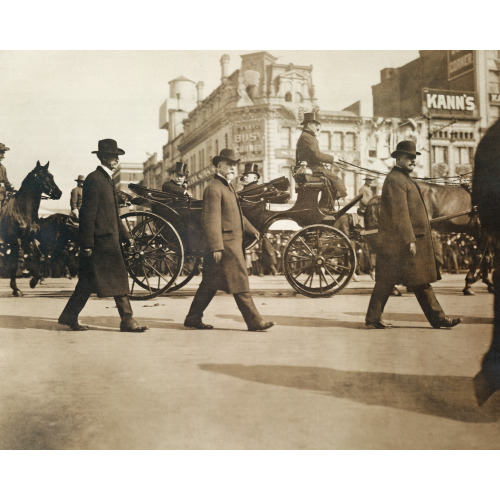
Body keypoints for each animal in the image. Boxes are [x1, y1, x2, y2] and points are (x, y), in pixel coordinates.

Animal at [0, 162, 61, 296]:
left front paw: (34, 280)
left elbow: (39, 257)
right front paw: (16, 289)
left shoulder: (28, 239)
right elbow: (16, 262)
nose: (59, 193)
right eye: (42, 176)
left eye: (52, 176)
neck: (21, 210)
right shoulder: (16, 241)